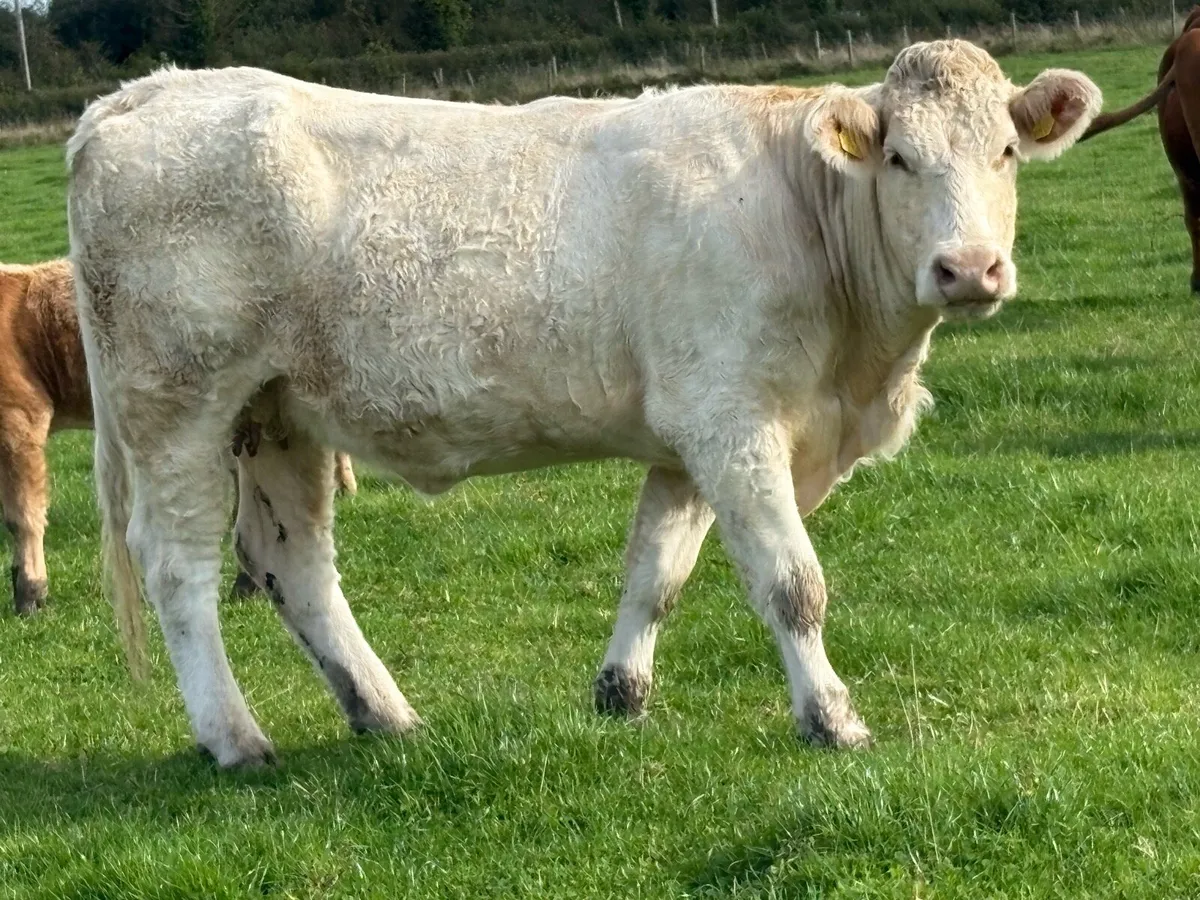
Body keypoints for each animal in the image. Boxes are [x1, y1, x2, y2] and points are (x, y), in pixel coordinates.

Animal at [66, 40, 1101, 767]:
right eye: (898, 159)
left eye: (1007, 150)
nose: (969, 268)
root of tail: (140, 94)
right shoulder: (733, 421)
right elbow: (791, 584)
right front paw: (832, 721)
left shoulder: (688, 437)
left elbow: (656, 575)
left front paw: (620, 695)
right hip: (177, 404)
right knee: (179, 568)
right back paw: (234, 737)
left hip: (277, 413)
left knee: (293, 562)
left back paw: (386, 714)